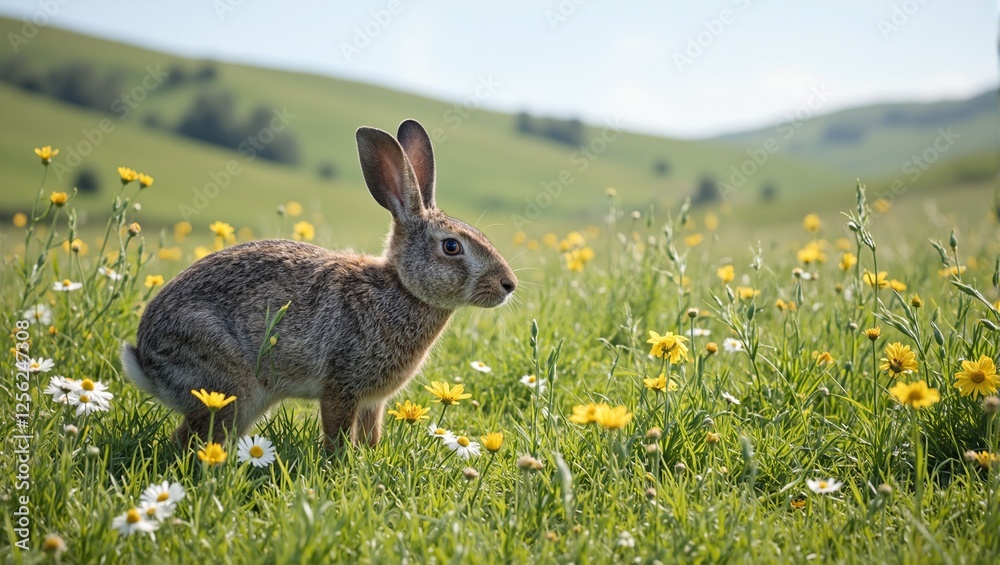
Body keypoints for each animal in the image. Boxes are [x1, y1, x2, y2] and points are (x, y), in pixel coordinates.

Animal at [121, 119, 516, 450]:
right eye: (451, 247)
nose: (508, 284)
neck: (401, 288)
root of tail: (145, 359)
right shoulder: (341, 387)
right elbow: (338, 432)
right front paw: (340, 464)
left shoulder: (373, 401)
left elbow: (371, 433)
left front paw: (368, 457)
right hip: (230, 386)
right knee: (192, 439)